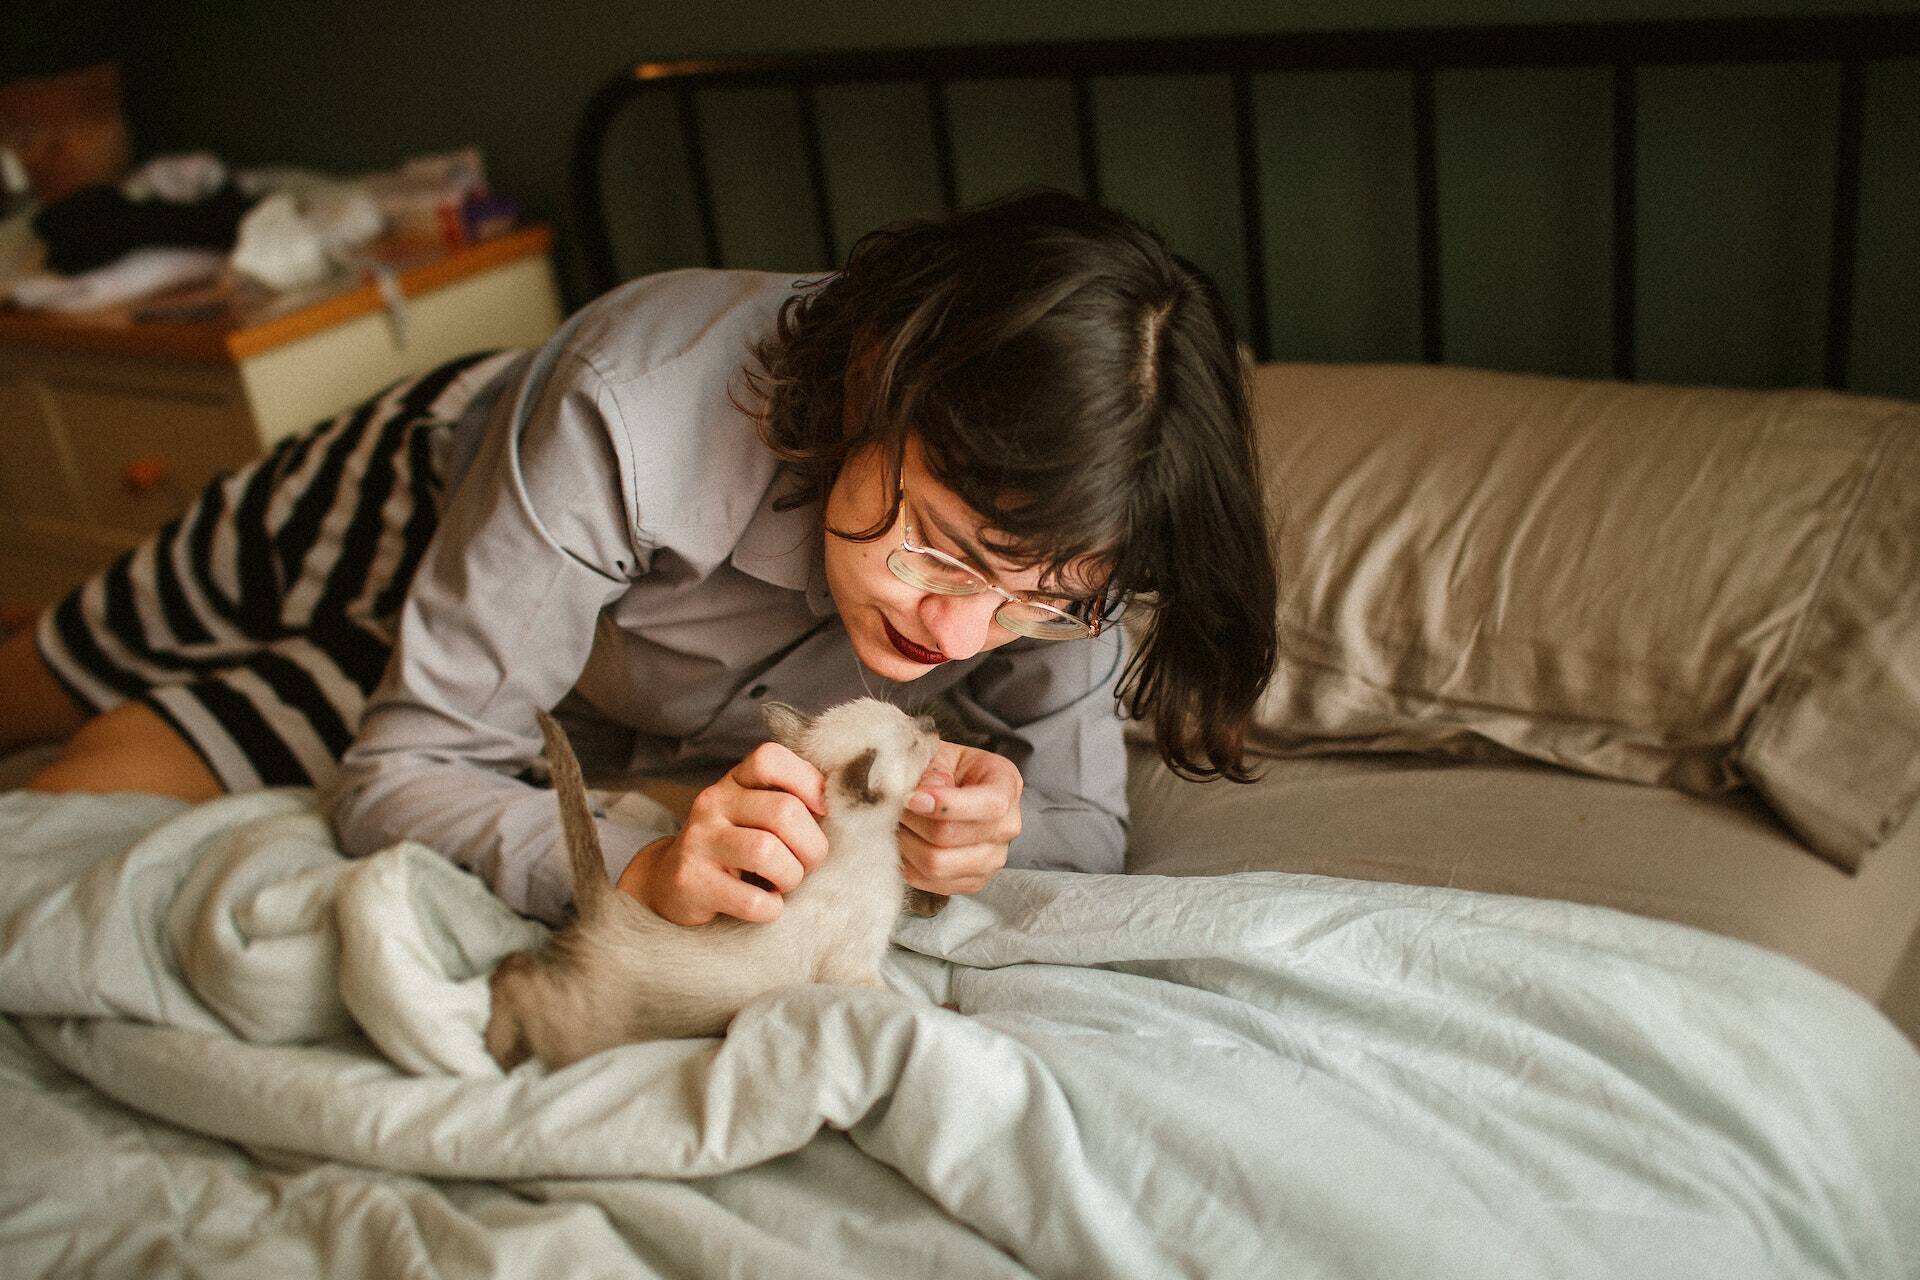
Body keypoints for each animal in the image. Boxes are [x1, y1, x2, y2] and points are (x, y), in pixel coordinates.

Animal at [483, 702, 940, 1074]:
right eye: (914, 742)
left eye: (909, 719)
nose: (934, 724)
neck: (862, 841)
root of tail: (608, 902)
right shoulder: (855, 969)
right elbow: (903, 1005)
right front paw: (941, 1012)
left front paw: (934, 903)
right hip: (579, 1033)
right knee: (516, 972)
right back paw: (502, 1051)